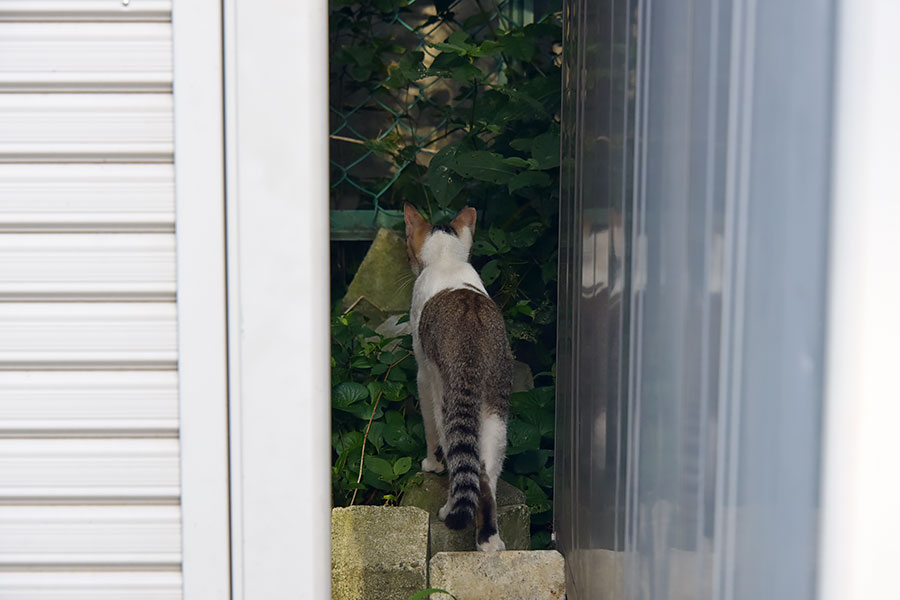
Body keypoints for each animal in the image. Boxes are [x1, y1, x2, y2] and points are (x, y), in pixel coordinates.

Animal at [402, 204, 510, 552]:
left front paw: (431, 465)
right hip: (496, 408)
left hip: (445, 396)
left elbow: (430, 434)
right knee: (485, 471)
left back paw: (451, 510)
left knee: (460, 458)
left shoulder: (423, 374)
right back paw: (489, 540)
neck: (447, 260)